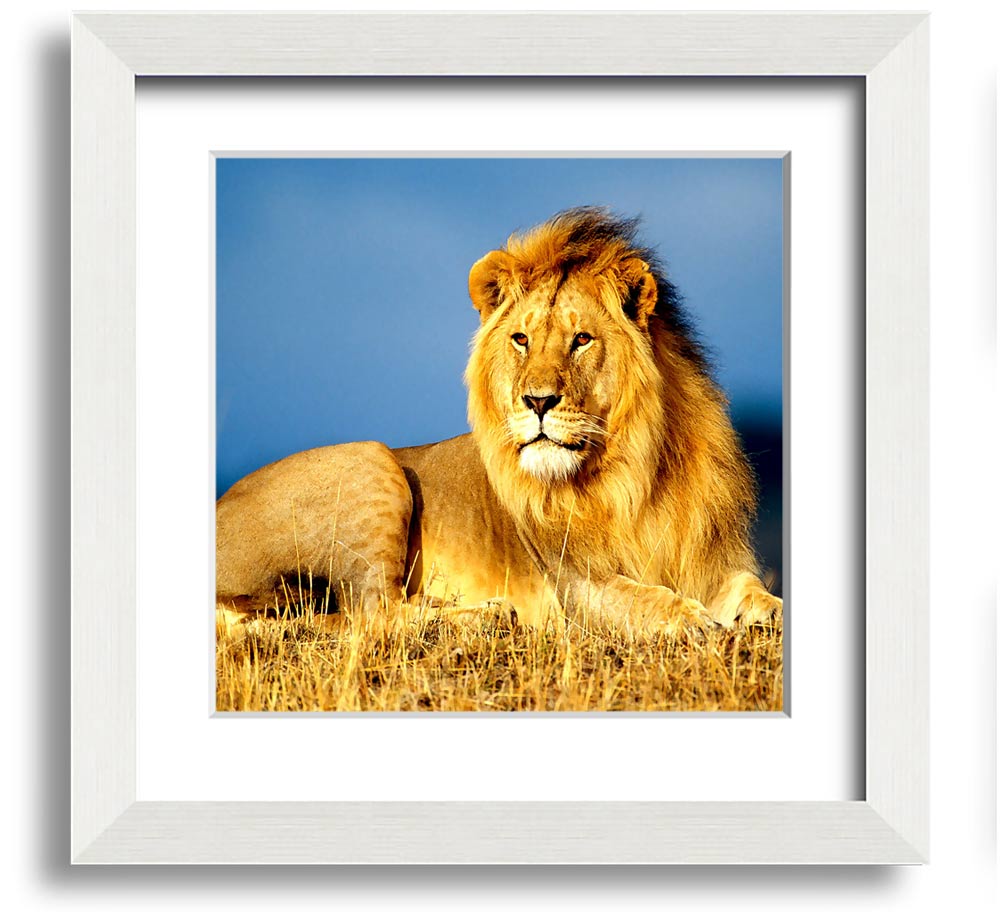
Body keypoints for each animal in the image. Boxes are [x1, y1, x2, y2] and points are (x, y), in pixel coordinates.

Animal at [216, 207, 781, 634]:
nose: (538, 401)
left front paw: (763, 613)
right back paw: (487, 614)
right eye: (521, 339)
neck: (635, 472)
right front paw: (694, 620)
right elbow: (644, 599)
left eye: (581, 339)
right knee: (371, 615)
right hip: (369, 460)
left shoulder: (715, 561)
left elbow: (754, 591)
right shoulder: (577, 586)